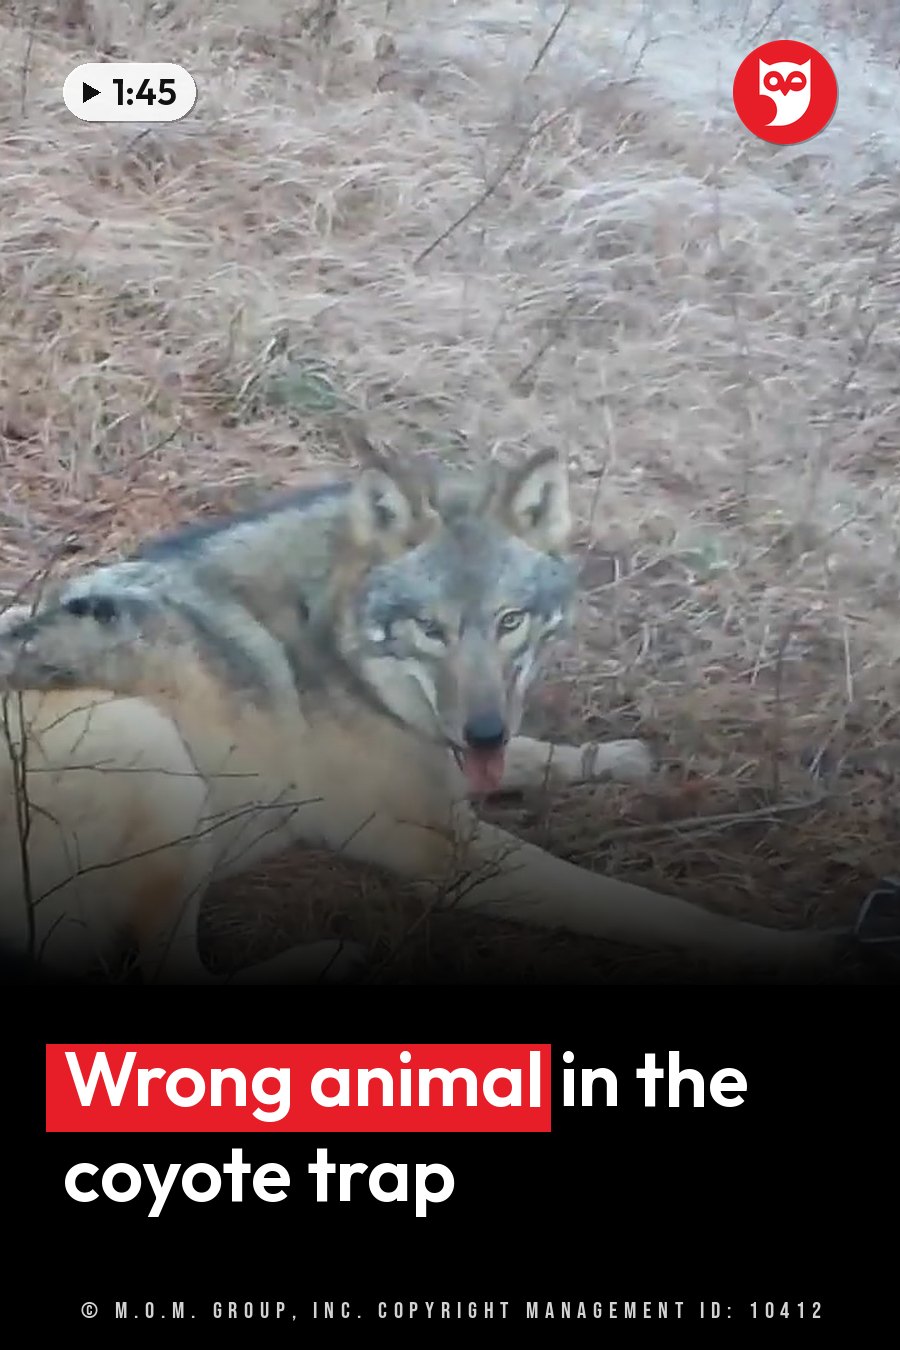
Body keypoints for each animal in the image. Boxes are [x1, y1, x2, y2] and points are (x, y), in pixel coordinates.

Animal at [0, 437, 849, 984]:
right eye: (430, 629)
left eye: (509, 621)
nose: (482, 727)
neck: (328, 636)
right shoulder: (445, 848)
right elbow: (645, 907)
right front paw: (795, 948)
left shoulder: (458, 756)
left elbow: (539, 755)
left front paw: (619, 761)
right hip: (152, 749)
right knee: (165, 972)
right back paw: (323, 959)